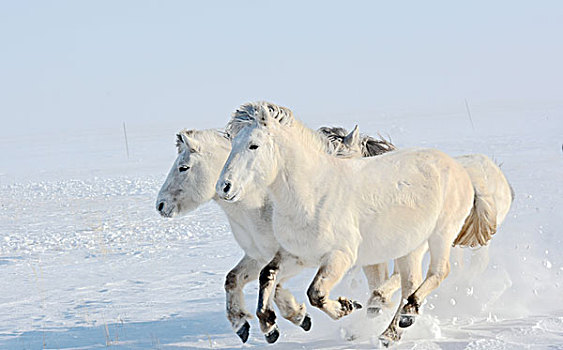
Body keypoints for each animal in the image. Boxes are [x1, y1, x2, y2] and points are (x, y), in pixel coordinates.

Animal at [216, 102, 498, 348]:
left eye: (253, 145)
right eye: (232, 144)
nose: (224, 187)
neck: (315, 192)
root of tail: (458, 167)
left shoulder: (340, 256)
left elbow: (316, 293)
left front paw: (346, 307)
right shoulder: (296, 255)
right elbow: (268, 276)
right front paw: (269, 327)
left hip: (441, 234)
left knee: (438, 273)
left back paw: (404, 316)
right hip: (410, 246)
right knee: (410, 283)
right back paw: (392, 332)